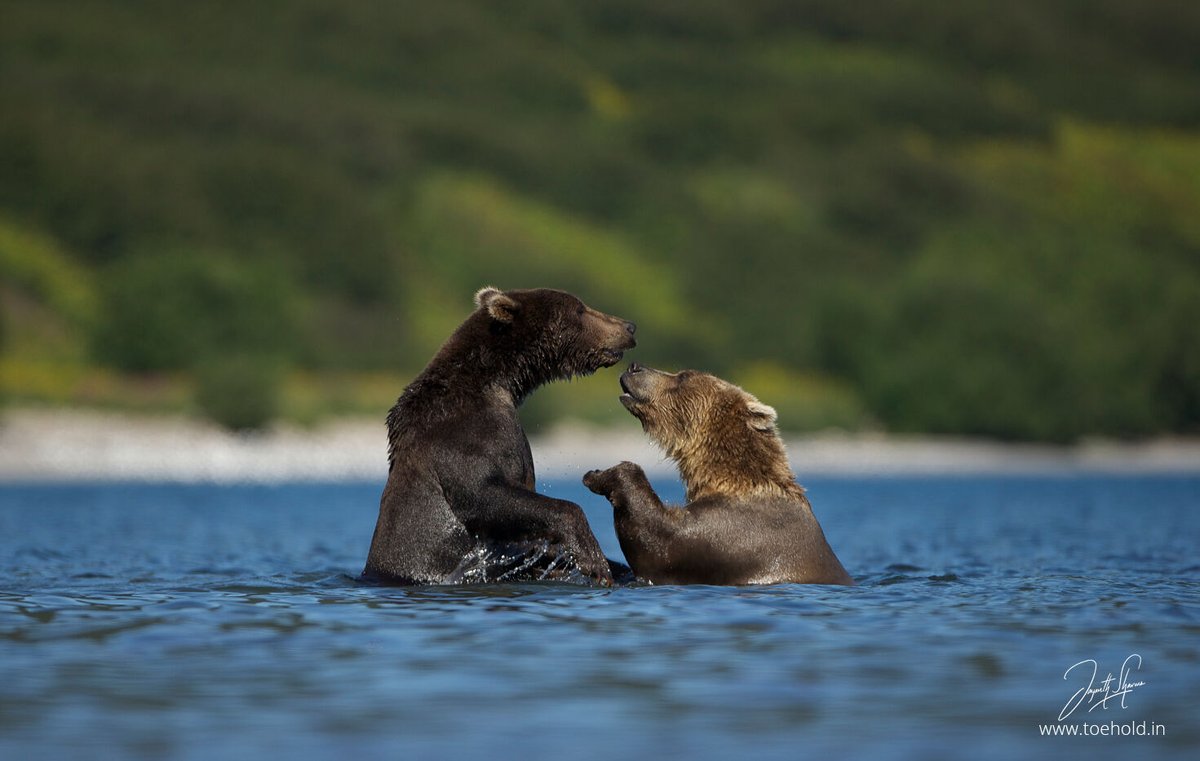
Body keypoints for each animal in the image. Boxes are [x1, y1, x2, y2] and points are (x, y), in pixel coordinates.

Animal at [363, 286, 637, 586]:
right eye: (579, 309)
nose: (628, 326)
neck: (496, 383)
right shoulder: (464, 437)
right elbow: (484, 493)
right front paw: (592, 558)